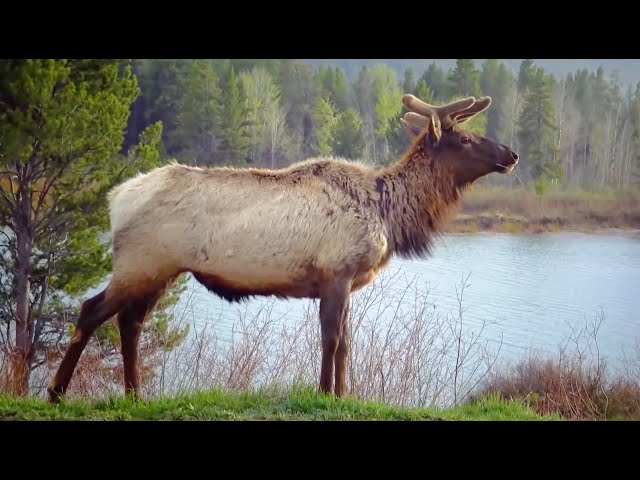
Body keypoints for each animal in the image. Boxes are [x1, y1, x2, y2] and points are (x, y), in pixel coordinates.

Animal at [48, 93, 520, 402]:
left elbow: (345, 343)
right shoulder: (335, 272)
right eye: (465, 139)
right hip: (141, 262)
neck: (389, 213)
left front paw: (343, 395)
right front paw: (325, 394)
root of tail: (115, 199)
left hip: (160, 271)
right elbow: (331, 339)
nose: (511, 154)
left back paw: (135, 396)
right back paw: (57, 392)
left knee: (129, 323)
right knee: (91, 311)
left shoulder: (346, 280)